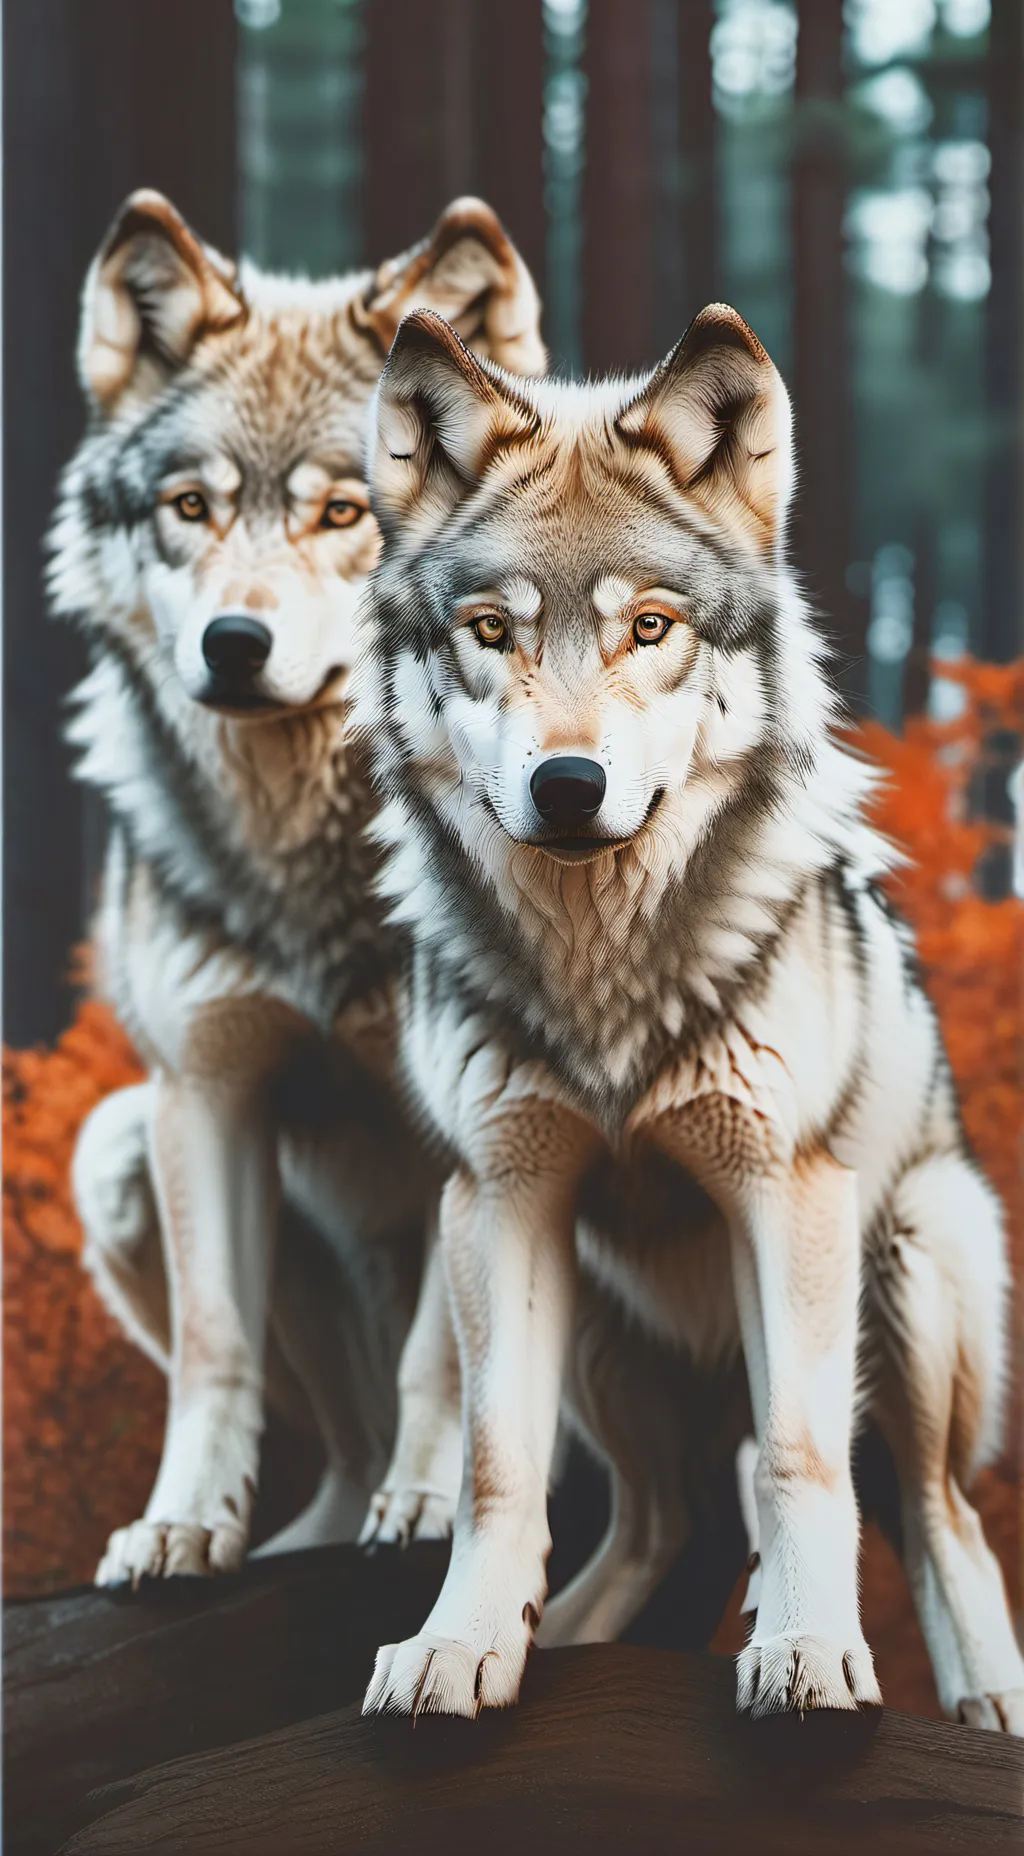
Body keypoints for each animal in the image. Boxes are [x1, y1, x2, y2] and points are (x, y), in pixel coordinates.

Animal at [48, 190, 546, 1584]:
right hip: (116, 1147)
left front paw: (426, 1502)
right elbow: (212, 1348)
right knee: (326, 1443)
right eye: (190, 506)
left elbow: (446, 1353)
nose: (234, 644)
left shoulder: (459, 1122)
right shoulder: (202, 1089)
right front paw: (180, 1524)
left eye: (341, 515)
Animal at [354, 305, 1024, 1730]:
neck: (602, 968)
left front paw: (812, 1653)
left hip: (909, 1268)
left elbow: (801, 1456)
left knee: (933, 1510)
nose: (566, 784)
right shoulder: (498, 1196)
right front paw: (457, 1644)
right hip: (609, 1339)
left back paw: (979, 1699)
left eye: (649, 625)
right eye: (490, 630)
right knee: (662, 1527)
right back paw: (573, 1640)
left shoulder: (785, 1188)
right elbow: (494, 1468)